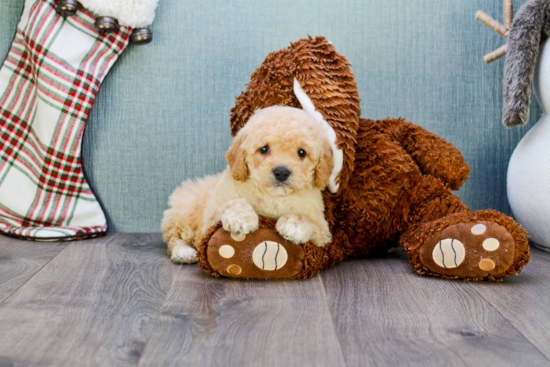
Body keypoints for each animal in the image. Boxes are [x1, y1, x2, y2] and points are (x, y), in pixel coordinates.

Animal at [162, 106, 334, 264]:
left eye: (302, 153)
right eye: (264, 149)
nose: (281, 172)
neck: (273, 197)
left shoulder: (322, 229)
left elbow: (308, 221)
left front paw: (294, 226)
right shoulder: (209, 219)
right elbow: (231, 203)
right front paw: (241, 218)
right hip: (186, 209)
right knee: (173, 235)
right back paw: (183, 252)